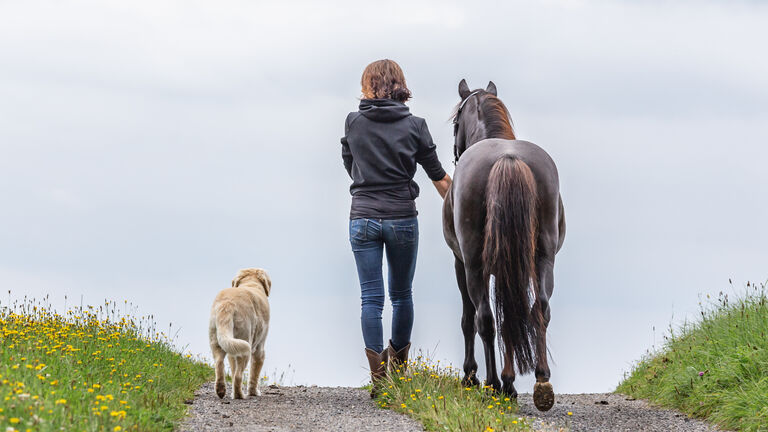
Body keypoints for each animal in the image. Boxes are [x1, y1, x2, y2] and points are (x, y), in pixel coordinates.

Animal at [444, 81, 564, 412]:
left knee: (484, 318)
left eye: (455, 121)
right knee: (539, 308)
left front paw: (473, 376)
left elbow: (470, 319)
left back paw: (491, 383)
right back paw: (541, 382)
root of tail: (508, 159)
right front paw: (510, 381)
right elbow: (511, 315)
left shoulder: (461, 264)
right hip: (542, 258)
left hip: (473, 264)